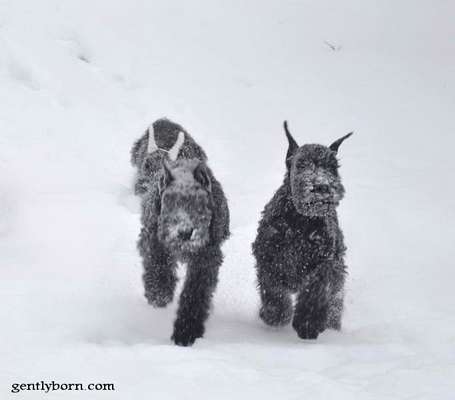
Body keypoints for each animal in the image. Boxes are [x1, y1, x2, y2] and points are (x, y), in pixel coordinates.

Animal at [132, 119, 232, 346]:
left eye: (200, 205)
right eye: (169, 203)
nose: (185, 232)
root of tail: (164, 120)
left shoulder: (206, 257)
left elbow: (195, 292)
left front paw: (187, 331)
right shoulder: (153, 238)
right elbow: (157, 262)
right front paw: (159, 291)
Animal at [253, 121, 352, 338]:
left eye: (333, 167)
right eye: (301, 164)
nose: (322, 186)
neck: (300, 222)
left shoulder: (323, 265)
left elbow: (314, 293)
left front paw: (309, 324)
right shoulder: (268, 256)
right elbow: (272, 288)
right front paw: (276, 314)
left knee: (335, 300)